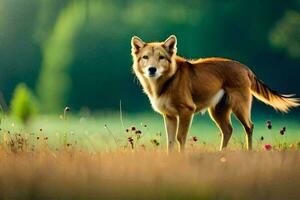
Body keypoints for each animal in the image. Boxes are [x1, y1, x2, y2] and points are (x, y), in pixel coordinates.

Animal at [130, 35, 298, 152]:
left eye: (161, 57)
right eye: (145, 57)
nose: (152, 69)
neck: (168, 80)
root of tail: (244, 67)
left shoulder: (186, 111)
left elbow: (180, 137)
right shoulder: (169, 115)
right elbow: (170, 140)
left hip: (239, 106)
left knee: (249, 126)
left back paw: (249, 152)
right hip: (218, 110)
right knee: (228, 130)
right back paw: (221, 154)